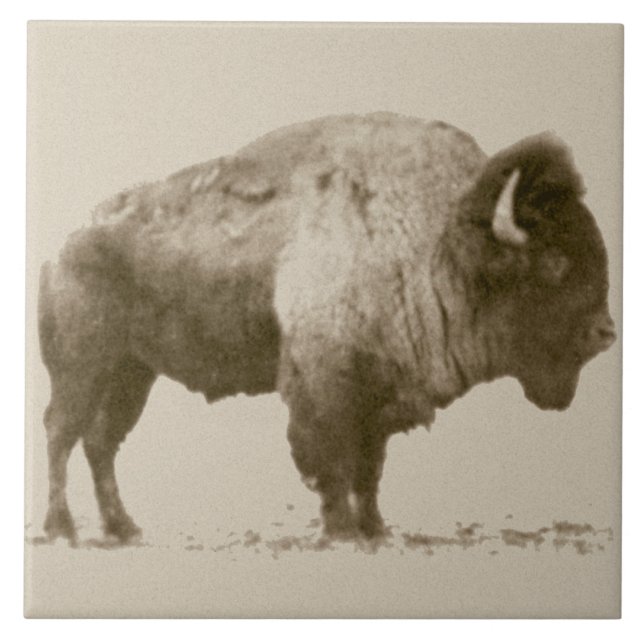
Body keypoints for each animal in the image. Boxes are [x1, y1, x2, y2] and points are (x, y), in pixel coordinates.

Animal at [38, 112, 615, 543]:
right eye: (553, 263)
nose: (606, 333)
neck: (437, 243)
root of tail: (65, 245)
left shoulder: (378, 396)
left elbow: (369, 468)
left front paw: (376, 530)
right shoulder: (325, 387)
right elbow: (332, 462)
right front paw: (342, 532)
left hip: (132, 373)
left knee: (101, 442)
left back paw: (123, 528)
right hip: (82, 369)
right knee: (61, 433)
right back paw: (62, 528)